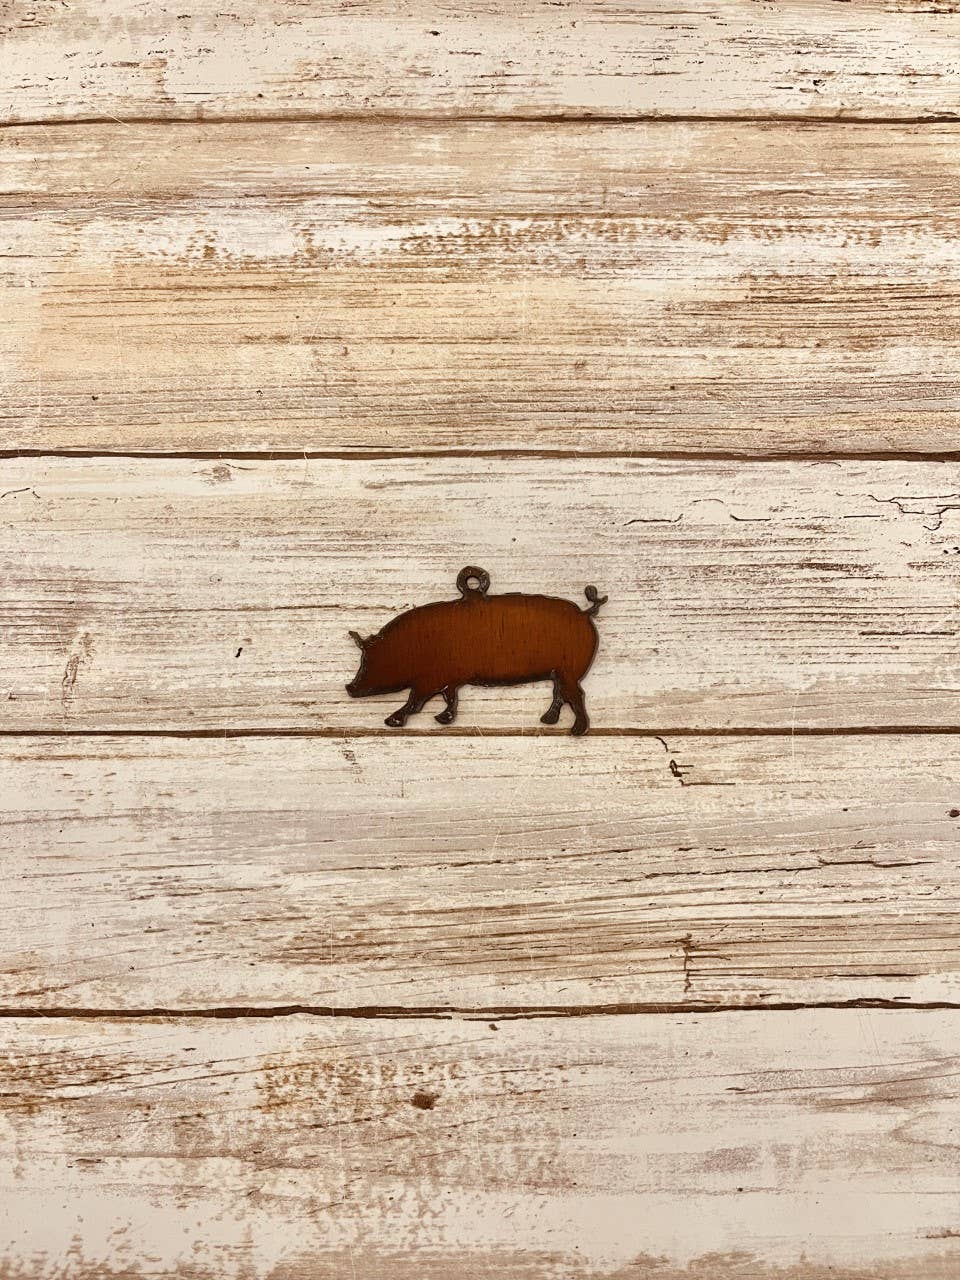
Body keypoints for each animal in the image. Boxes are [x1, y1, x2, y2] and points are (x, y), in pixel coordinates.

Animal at [346, 566, 607, 735]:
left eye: (370, 660)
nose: (349, 688)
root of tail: (585, 613)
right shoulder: (449, 680)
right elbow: (450, 698)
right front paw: (442, 719)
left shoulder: (429, 680)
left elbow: (414, 701)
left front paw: (392, 721)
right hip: (560, 673)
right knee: (560, 694)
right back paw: (548, 721)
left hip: (569, 671)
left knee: (575, 695)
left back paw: (575, 730)